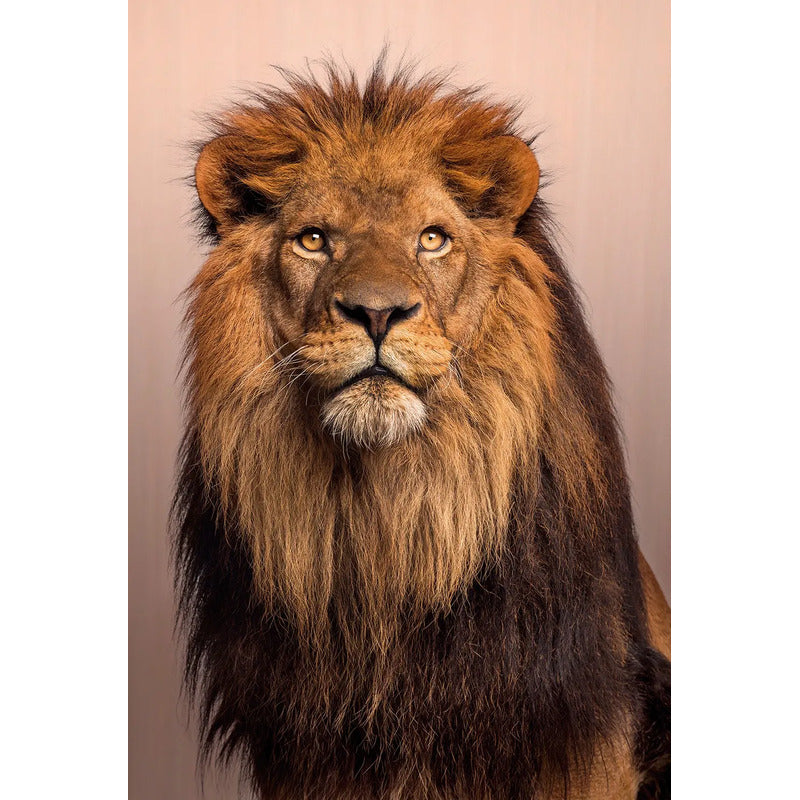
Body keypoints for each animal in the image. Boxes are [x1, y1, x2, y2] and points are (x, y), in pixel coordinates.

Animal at [174, 59, 670, 800]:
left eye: (431, 239)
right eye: (314, 239)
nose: (377, 313)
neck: (391, 522)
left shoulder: (583, 735)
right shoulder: (304, 753)